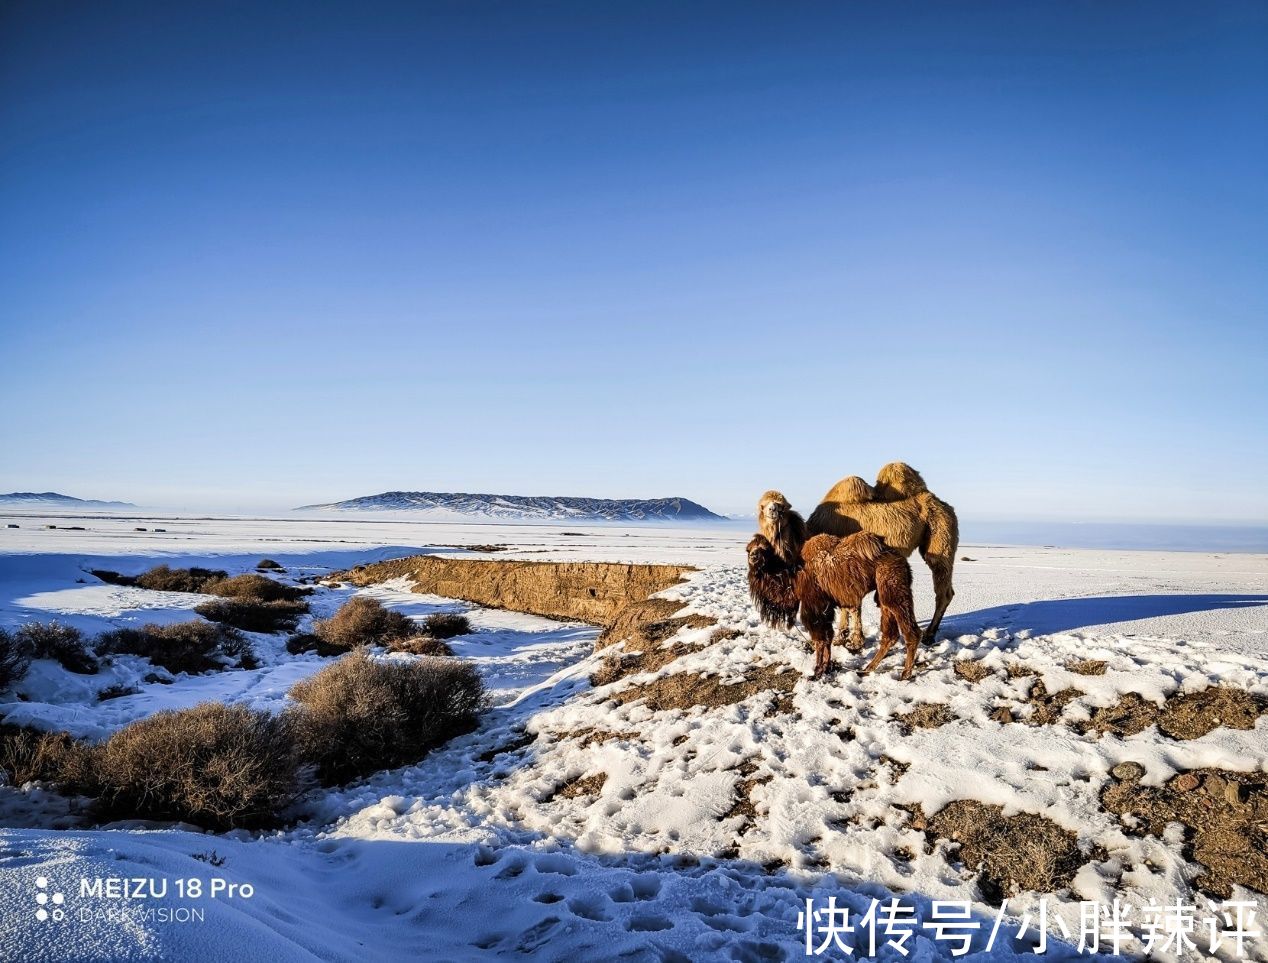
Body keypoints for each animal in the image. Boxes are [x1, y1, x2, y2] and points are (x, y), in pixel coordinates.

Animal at [740, 530, 923, 680]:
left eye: (765, 549)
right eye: (748, 550)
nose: (754, 557)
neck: (794, 579)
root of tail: (900, 559)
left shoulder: (813, 605)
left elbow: (820, 638)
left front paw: (817, 672)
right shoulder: (825, 607)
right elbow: (827, 636)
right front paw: (826, 667)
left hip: (893, 586)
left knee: (911, 631)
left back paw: (905, 673)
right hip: (883, 594)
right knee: (889, 635)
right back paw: (867, 669)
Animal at [755, 464, 953, 649]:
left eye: (782, 506)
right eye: (762, 506)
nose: (773, 511)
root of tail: (941, 503)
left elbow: (851, 604)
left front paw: (855, 640)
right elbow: (845, 602)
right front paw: (842, 637)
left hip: (941, 534)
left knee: (942, 587)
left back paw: (929, 635)